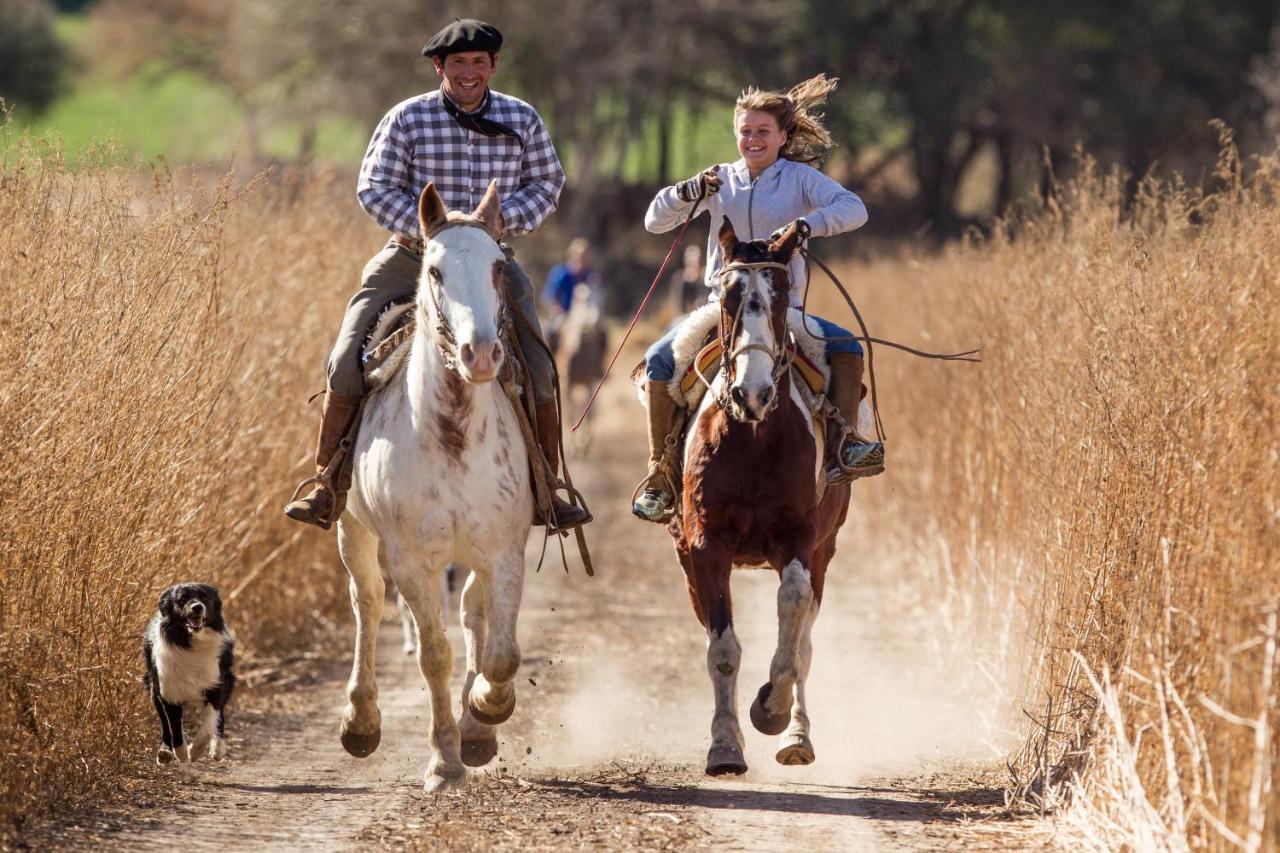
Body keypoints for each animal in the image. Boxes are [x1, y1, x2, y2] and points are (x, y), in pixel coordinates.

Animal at [142, 581, 235, 758]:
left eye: (205, 597)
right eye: (182, 599)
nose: (197, 607)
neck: (191, 644)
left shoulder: (216, 684)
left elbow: (208, 726)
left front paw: (195, 752)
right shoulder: (168, 691)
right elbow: (174, 727)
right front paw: (182, 754)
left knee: (219, 716)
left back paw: (217, 748)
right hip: (154, 689)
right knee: (165, 723)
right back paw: (165, 751)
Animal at [335, 179, 529, 788]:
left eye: (498, 267)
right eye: (436, 270)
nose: (481, 353)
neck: (453, 436)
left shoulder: (505, 550)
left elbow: (501, 653)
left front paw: (485, 713)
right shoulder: (411, 560)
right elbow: (433, 654)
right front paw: (445, 760)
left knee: (472, 610)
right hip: (351, 528)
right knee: (367, 601)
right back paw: (361, 722)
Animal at [670, 217, 849, 778]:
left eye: (783, 295)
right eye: (728, 298)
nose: (753, 393)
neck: (752, 435)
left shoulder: (801, 539)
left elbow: (793, 625)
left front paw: (770, 709)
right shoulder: (705, 547)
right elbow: (722, 648)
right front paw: (725, 745)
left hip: (824, 552)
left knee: (805, 638)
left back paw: (797, 736)